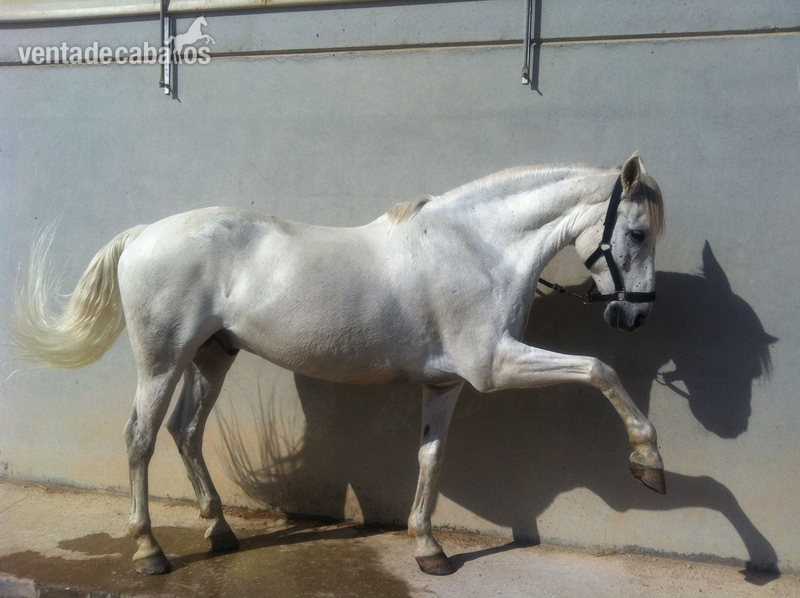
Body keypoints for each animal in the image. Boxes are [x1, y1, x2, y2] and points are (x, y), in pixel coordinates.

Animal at [10, 152, 666, 576]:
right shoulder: (494, 366)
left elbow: (431, 458)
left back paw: (219, 534)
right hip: (162, 360)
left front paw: (429, 550)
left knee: (186, 432)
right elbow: (599, 370)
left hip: (212, 357)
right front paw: (648, 463)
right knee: (141, 438)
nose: (635, 316)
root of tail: (145, 234)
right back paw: (150, 553)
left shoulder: (447, 382)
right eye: (636, 233)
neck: (476, 248)